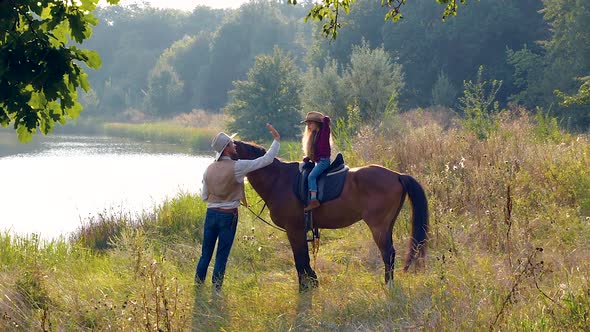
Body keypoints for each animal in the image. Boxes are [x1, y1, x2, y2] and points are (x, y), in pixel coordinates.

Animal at [235, 140, 430, 290]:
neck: (278, 180)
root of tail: (397, 175)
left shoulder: (294, 229)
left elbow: (300, 258)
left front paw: (305, 287)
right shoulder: (299, 230)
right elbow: (304, 258)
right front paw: (312, 282)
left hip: (378, 226)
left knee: (388, 253)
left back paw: (388, 285)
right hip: (387, 224)